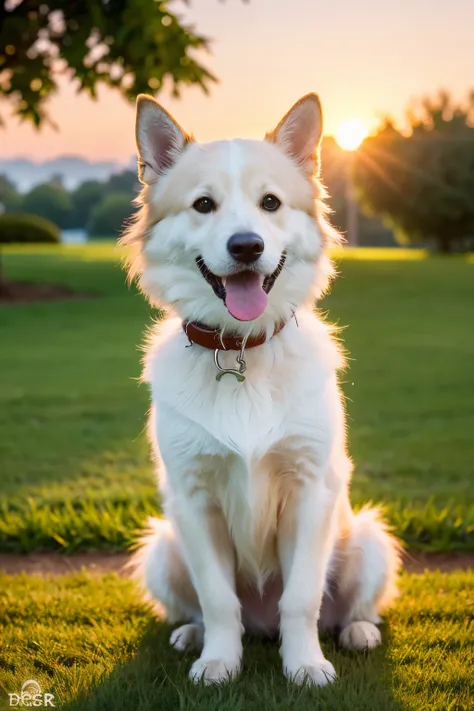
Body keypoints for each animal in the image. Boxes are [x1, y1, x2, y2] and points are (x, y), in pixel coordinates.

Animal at [123, 92, 400, 688]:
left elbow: (301, 600)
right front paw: (218, 663)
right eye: (203, 205)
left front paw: (306, 666)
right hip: (163, 547)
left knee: (350, 610)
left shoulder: (310, 491)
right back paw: (192, 636)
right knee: (204, 609)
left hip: (368, 539)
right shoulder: (193, 500)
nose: (246, 246)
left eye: (270, 203)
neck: (240, 350)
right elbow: (218, 601)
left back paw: (358, 633)